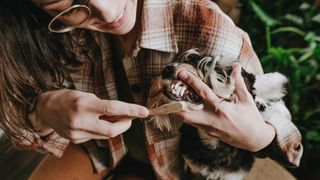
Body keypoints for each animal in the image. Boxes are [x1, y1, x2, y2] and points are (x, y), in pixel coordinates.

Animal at [148, 48, 290, 179]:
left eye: (218, 70)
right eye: (189, 59)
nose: (167, 69)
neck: (213, 144)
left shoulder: (233, 176)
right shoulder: (194, 169)